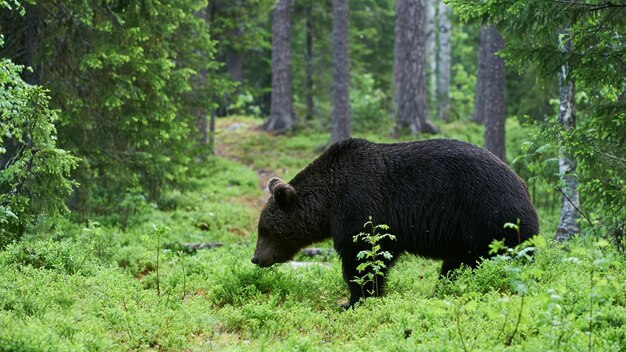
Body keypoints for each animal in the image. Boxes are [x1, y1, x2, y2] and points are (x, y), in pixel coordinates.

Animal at [251, 138, 540, 308]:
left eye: (264, 230)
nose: (256, 258)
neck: (329, 203)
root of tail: (524, 187)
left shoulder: (360, 205)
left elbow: (363, 257)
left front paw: (355, 300)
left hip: (489, 216)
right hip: (467, 237)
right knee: (455, 266)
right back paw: (441, 291)